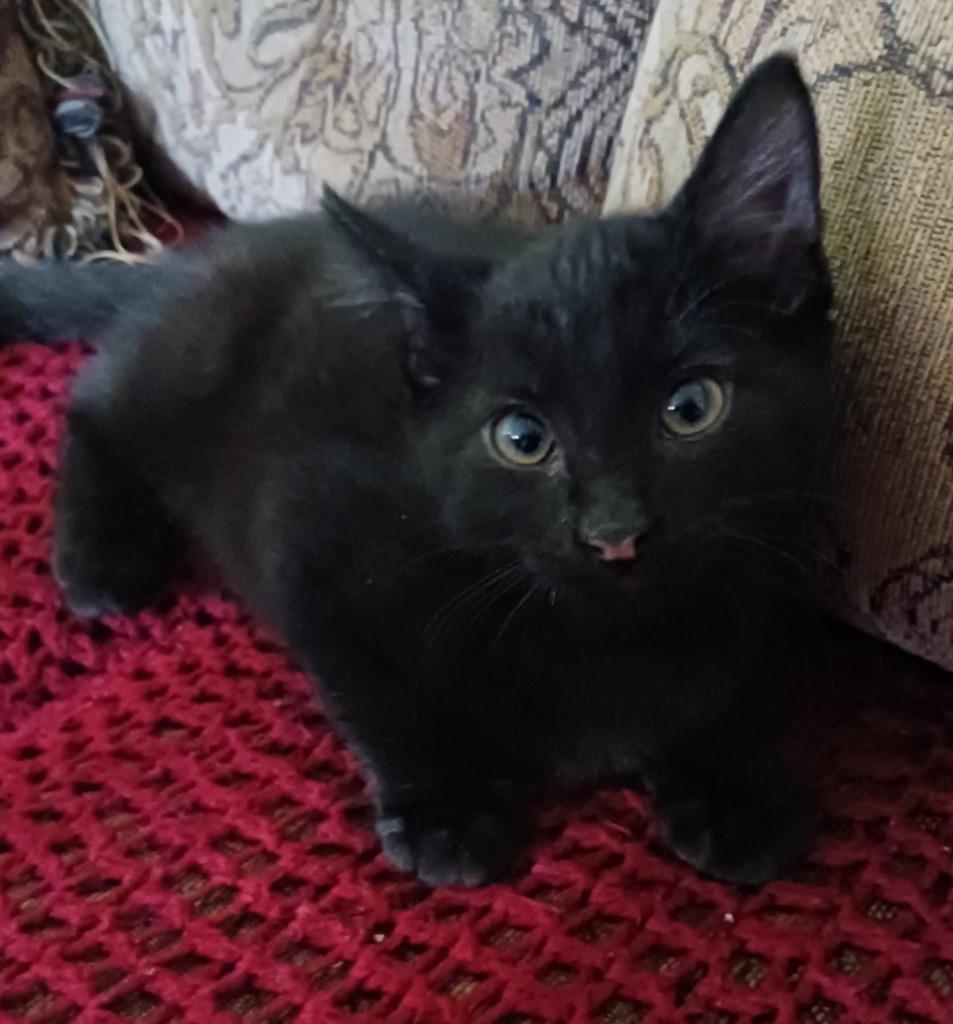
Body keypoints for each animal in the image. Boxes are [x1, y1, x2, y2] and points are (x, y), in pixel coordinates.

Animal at [0, 55, 832, 887]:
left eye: (690, 406)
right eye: (521, 437)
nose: (614, 531)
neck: (605, 634)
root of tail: (201, 253)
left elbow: (730, 679)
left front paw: (729, 784)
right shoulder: (310, 541)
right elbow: (380, 695)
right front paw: (448, 805)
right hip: (192, 358)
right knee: (95, 401)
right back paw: (102, 559)